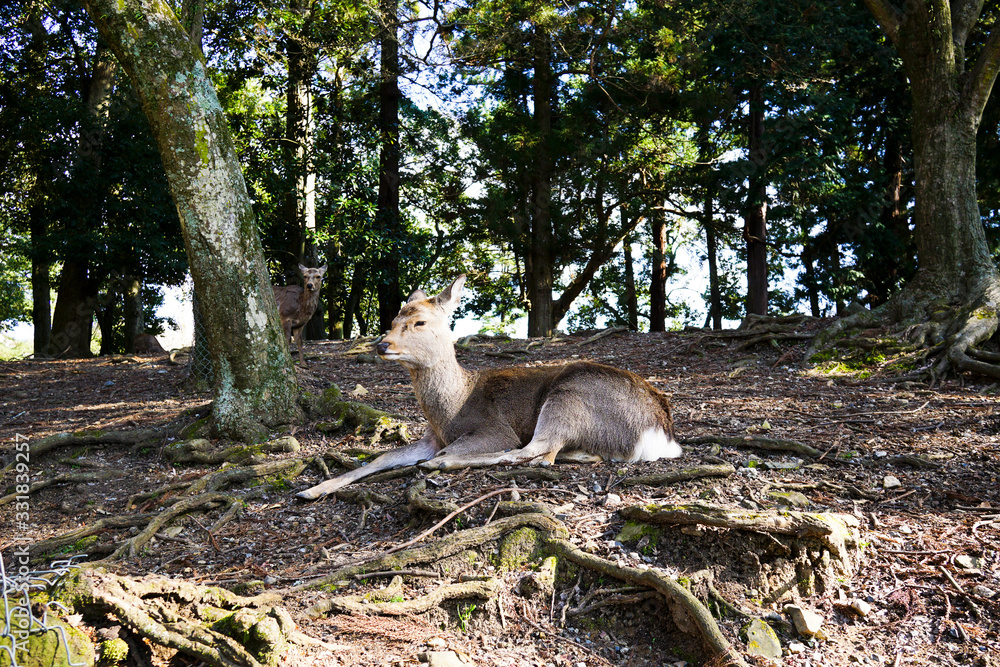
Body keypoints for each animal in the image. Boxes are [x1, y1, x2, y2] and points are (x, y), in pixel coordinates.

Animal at [297, 274, 681, 500]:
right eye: (392, 320)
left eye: (419, 322)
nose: (381, 345)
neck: (450, 411)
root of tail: (660, 435)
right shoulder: (431, 437)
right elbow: (381, 456)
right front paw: (313, 490)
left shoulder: (492, 428)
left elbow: (479, 447)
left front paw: (433, 463)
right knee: (559, 453)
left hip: (569, 396)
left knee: (529, 450)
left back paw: (440, 466)